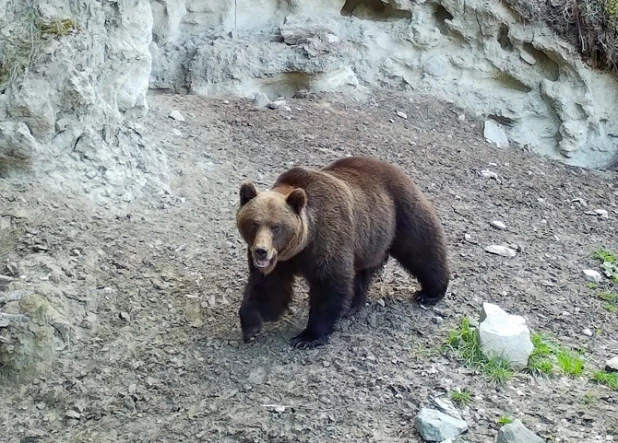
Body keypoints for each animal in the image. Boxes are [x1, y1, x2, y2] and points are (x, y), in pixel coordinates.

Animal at [233, 156, 446, 350]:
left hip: (400, 213)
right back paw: (352, 304)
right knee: (362, 272)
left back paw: (430, 293)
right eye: (254, 223)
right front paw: (251, 326)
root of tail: (394, 168)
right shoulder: (281, 262)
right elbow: (267, 287)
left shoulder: (327, 241)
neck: (301, 245)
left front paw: (307, 336)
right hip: (368, 241)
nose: (261, 251)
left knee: (421, 249)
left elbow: (330, 285)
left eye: (276, 227)